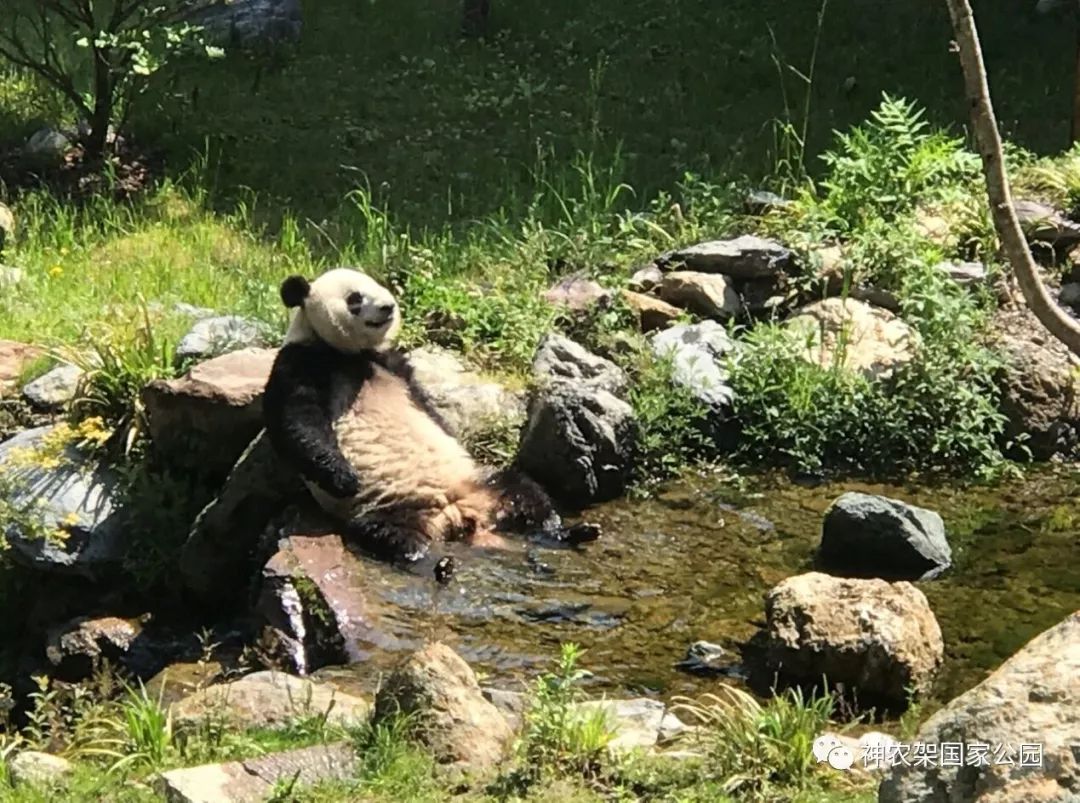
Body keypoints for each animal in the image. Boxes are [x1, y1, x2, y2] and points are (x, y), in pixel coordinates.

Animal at [261, 269, 600, 569]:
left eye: (379, 286)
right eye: (355, 297)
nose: (388, 307)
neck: (348, 354)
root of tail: (459, 514)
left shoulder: (393, 364)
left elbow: (428, 407)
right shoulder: (301, 362)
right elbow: (299, 422)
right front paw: (344, 477)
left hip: (482, 482)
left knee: (528, 495)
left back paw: (570, 532)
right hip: (388, 507)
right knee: (397, 538)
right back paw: (436, 565)